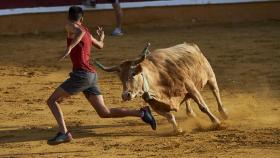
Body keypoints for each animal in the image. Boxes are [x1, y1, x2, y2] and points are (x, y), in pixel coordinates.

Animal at [94, 42, 228, 133]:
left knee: (216, 92)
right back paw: (190, 114)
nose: (125, 95)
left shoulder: (190, 87)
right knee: (187, 100)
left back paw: (223, 113)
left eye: (133, 74)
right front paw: (177, 130)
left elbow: (203, 106)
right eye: (120, 78)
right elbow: (169, 116)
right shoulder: (155, 105)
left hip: (210, 76)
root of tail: (191, 45)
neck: (158, 78)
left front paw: (217, 122)